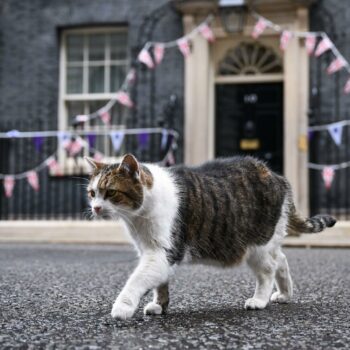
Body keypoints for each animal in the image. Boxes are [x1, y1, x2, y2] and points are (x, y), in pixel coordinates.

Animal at [85, 155, 336, 320]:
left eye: (110, 192)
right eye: (92, 193)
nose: (95, 208)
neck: (138, 218)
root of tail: (276, 176)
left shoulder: (162, 252)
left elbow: (137, 280)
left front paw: (122, 307)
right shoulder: (152, 251)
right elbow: (160, 284)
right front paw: (159, 305)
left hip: (258, 245)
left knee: (268, 270)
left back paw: (259, 300)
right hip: (269, 241)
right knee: (281, 260)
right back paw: (284, 293)